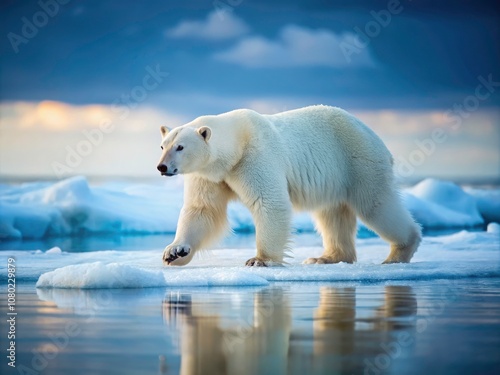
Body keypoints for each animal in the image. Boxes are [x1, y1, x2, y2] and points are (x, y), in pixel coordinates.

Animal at [157, 106, 422, 268]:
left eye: (180, 147)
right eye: (163, 145)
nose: (162, 167)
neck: (236, 145)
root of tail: (374, 135)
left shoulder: (254, 157)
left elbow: (269, 202)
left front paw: (259, 260)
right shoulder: (210, 175)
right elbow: (203, 210)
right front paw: (174, 251)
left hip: (358, 161)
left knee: (375, 204)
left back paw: (397, 254)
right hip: (336, 179)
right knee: (332, 214)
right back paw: (324, 258)